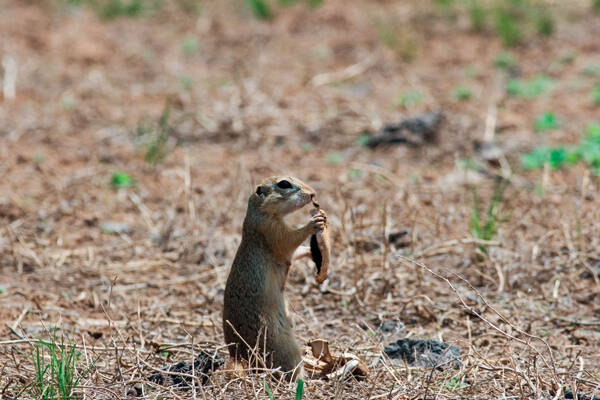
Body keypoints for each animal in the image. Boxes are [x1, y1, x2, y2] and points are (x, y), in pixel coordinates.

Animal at [223, 177, 326, 380]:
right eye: (284, 184)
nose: (313, 194)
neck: (260, 212)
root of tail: (240, 360)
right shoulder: (272, 230)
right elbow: (290, 239)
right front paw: (313, 223)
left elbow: (294, 253)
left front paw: (311, 251)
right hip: (284, 348)